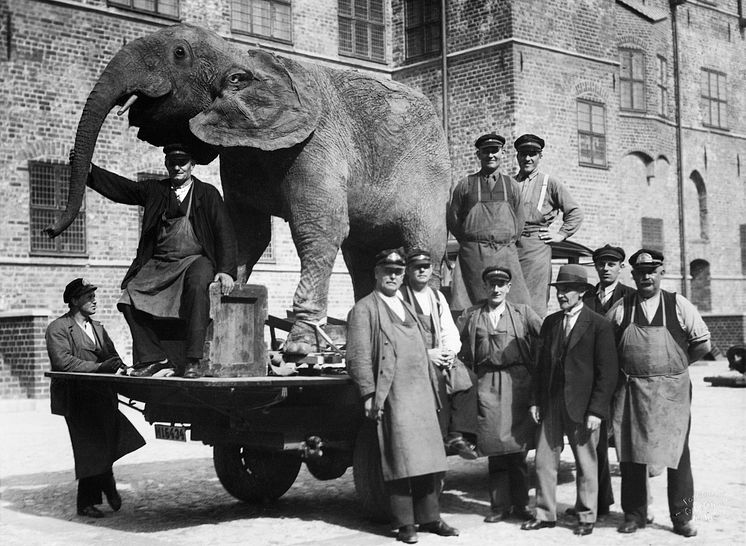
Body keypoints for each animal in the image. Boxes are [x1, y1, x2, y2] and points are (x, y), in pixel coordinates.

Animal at [48, 23, 454, 350]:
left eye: (179, 53)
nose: (50, 230)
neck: (245, 58)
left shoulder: (318, 144)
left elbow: (320, 229)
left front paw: (299, 346)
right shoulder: (239, 157)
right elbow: (245, 232)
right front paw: (220, 311)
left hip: (430, 179)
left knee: (422, 245)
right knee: (361, 255)